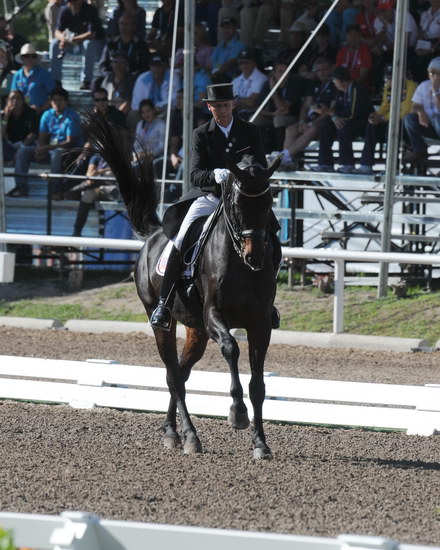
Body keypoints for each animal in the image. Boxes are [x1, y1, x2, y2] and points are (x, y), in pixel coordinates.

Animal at [82, 112, 282, 462]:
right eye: (236, 202)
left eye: (269, 201)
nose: (255, 257)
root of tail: (153, 236)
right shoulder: (215, 315)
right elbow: (231, 349)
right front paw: (237, 414)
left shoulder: (260, 323)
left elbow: (258, 384)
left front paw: (260, 443)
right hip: (162, 319)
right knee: (173, 374)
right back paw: (189, 437)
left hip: (196, 329)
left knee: (181, 374)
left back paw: (173, 432)